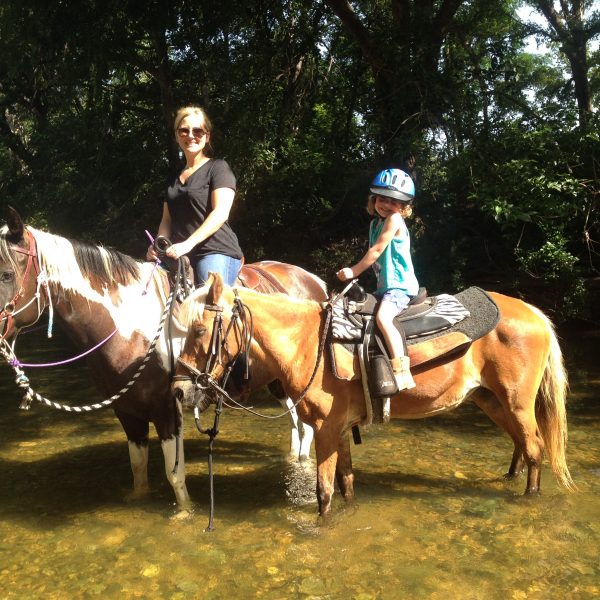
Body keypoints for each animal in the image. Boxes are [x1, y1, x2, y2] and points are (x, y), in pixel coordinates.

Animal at [0, 209, 326, 508]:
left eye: (6, 274)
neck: (131, 328)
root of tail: (313, 280)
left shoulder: (167, 410)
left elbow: (174, 474)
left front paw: (185, 513)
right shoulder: (127, 412)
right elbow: (138, 469)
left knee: (307, 426)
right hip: (276, 382)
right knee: (296, 423)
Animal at [172, 274, 572, 516]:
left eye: (198, 330)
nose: (178, 389)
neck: (307, 343)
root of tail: (533, 312)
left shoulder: (326, 430)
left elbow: (324, 492)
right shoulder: (338, 430)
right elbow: (346, 484)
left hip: (516, 402)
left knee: (534, 447)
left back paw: (528, 496)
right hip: (490, 400)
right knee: (521, 444)